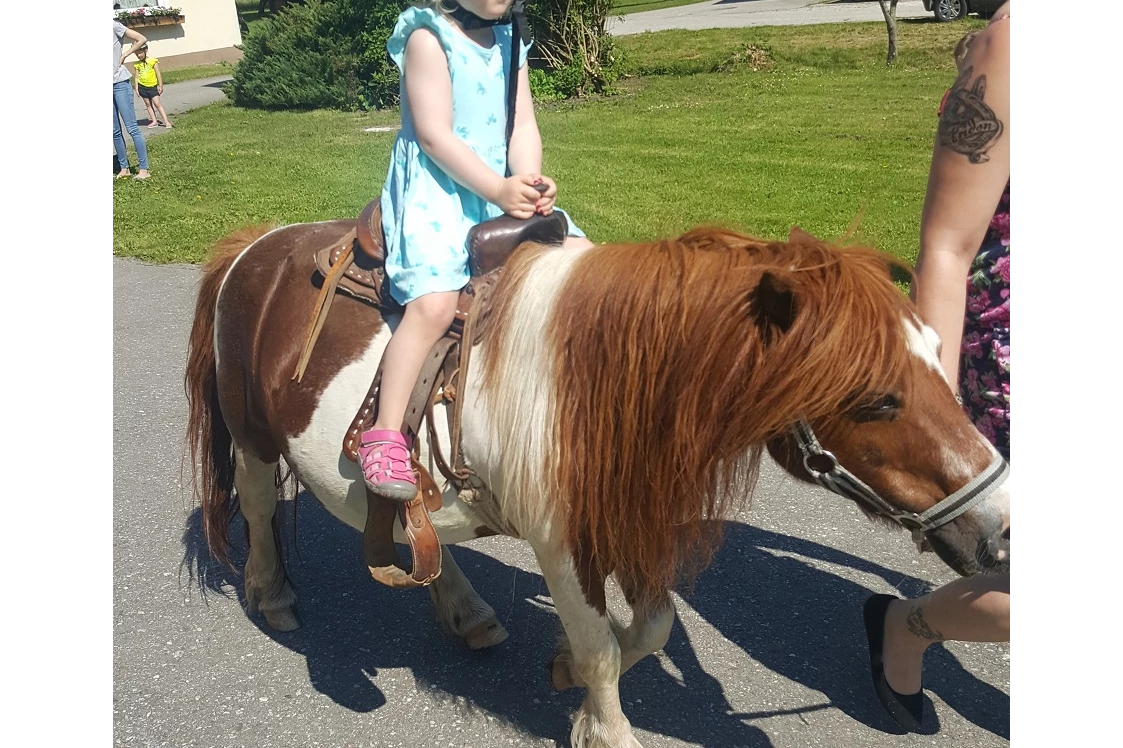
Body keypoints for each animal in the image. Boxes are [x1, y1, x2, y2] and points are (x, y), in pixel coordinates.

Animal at [181, 220, 1010, 745]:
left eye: (939, 353)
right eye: (878, 399)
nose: (999, 529)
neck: (600, 380)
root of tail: (255, 244)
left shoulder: (628, 516)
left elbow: (648, 628)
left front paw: (561, 677)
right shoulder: (564, 541)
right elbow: (601, 649)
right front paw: (603, 728)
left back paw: (467, 611)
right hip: (251, 437)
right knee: (257, 502)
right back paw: (272, 594)